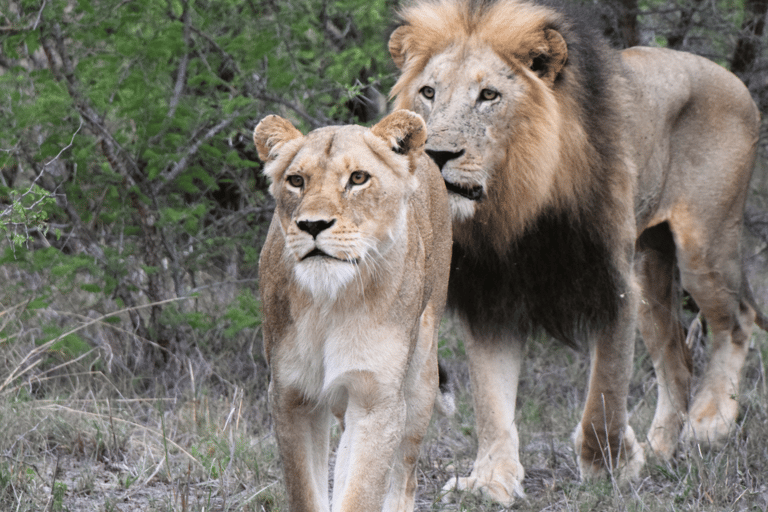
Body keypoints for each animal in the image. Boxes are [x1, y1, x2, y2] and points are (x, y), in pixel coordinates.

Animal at [255, 109, 452, 512]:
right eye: (296, 181)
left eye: (358, 178)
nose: (312, 225)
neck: (330, 302)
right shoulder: (290, 395)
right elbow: (306, 493)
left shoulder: (377, 399)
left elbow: (362, 492)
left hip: (420, 379)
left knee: (404, 476)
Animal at [390, 0, 768, 504]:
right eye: (428, 92)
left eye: (489, 95)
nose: (436, 154)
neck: (516, 204)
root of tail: (732, 78)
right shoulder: (491, 297)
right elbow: (490, 402)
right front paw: (490, 482)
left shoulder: (612, 285)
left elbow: (603, 395)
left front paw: (611, 466)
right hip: (650, 268)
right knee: (678, 360)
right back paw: (662, 449)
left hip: (704, 244)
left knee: (737, 321)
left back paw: (710, 424)